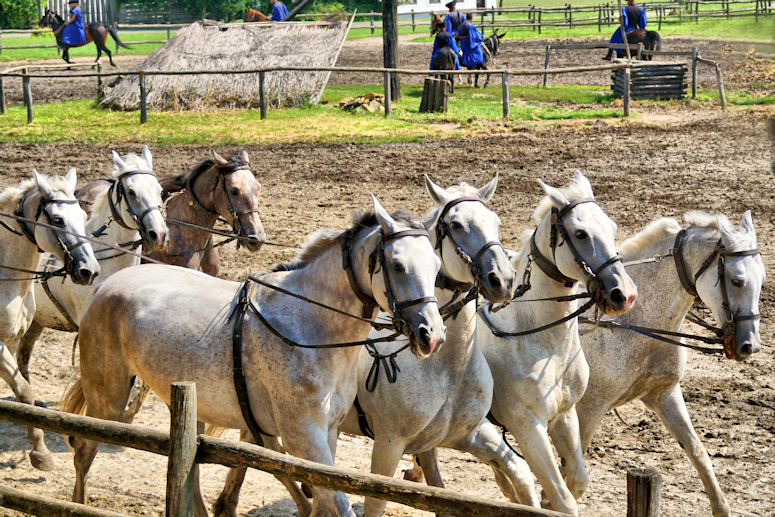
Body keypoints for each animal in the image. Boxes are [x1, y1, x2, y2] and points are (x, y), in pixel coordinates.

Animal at [0, 170, 100, 472]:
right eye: (57, 220)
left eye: (82, 214)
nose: (89, 271)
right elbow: (24, 389)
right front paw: (40, 452)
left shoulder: (12, 341)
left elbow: (23, 394)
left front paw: (40, 451)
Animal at [61, 198, 446, 516]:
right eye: (397, 265)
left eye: (436, 265)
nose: (432, 335)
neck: (311, 326)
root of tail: (107, 285)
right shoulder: (304, 436)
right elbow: (334, 504)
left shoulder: (328, 433)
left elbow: (321, 500)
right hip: (108, 398)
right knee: (83, 448)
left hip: (189, 407)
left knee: (188, 470)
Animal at [572, 210, 768, 516]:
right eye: (737, 281)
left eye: (762, 280)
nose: (749, 346)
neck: (633, 323)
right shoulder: (589, 408)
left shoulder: (664, 395)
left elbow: (697, 450)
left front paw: (721, 508)